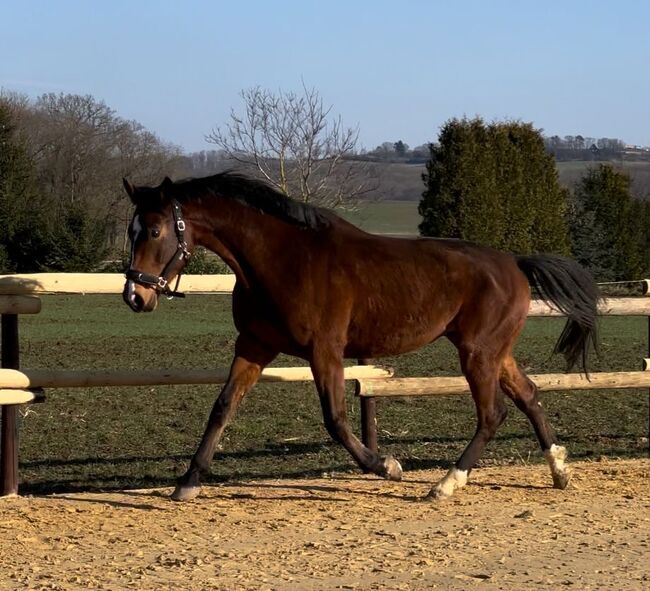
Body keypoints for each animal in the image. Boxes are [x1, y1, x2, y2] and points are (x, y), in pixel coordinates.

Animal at [121, 173, 596, 502]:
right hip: (496, 352)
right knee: (529, 395)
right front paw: (188, 482)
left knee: (492, 413)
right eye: (131, 231)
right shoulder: (255, 346)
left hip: (477, 353)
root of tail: (515, 262)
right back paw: (559, 471)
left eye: (156, 231)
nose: (136, 296)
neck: (281, 260)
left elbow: (335, 419)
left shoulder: (324, 351)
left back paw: (445, 484)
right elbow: (222, 408)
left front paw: (386, 465)